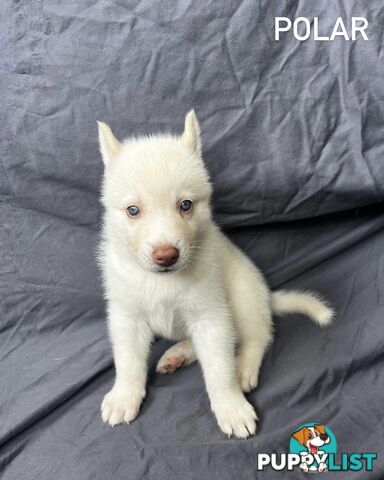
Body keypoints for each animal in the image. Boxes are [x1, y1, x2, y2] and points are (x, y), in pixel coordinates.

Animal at [98, 111, 332, 438]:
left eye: (185, 205)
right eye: (133, 210)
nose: (166, 255)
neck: (162, 281)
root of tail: (266, 297)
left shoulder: (211, 317)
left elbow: (220, 370)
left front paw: (231, 407)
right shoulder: (126, 317)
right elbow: (128, 361)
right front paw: (124, 396)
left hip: (243, 298)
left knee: (257, 336)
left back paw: (244, 366)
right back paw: (178, 354)